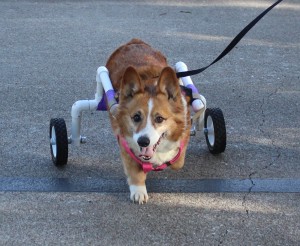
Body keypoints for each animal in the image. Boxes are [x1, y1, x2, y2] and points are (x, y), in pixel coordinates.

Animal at [105, 39, 190, 204]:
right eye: (136, 117)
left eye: (159, 119)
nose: (143, 142)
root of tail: (134, 41)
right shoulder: (125, 144)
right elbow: (135, 172)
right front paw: (139, 191)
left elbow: (178, 162)